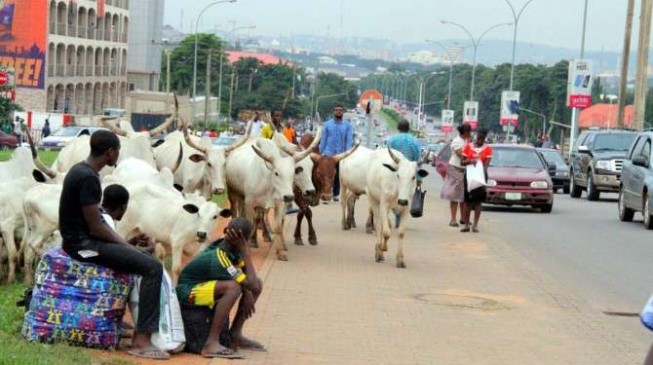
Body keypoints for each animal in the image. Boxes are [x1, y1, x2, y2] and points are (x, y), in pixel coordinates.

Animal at [225, 129, 322, 260]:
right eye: (299, 169)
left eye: (293, 172)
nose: (311, 191)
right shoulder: (250, 202)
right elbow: (251, 222)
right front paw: (249, 246)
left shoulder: (280, 203)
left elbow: (279, 225)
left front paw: (281, 250)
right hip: (233, 194)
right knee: (236, 214)